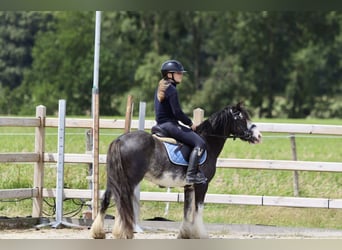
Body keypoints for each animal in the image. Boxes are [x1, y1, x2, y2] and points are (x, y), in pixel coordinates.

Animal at [90, 102, 262, 239]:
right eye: (241, 118)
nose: (258, 136)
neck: (208, 141)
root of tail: (120, 139)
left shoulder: (189, 186)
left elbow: (187, 210)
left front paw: (185, 234)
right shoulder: (202, 185)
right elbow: (198, 209)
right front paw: (200, 234)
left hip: (115, 178)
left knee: (107, 199)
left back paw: (99, 232)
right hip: (130, 179)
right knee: (122, 201)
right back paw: (123, 232)